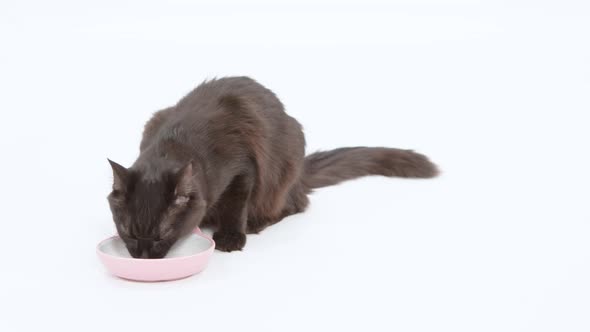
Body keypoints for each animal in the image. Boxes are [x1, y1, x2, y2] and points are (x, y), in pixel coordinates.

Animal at [108, 76, 440, 258]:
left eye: (162, 235)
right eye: (128, 232)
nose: (143, 256)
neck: (174, 143)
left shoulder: (243, 171)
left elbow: (235, 207)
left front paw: (231, 238)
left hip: (283, 167)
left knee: (295, 204)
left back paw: (256, 223)